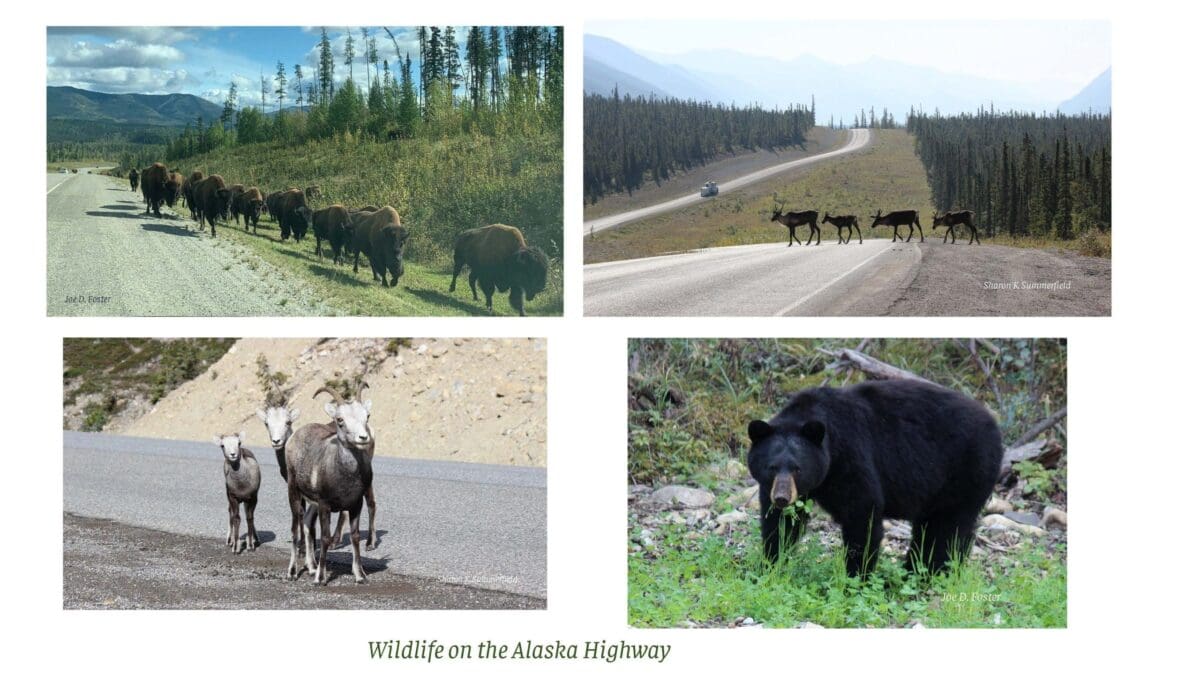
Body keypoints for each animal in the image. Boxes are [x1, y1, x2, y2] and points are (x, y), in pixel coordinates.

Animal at [283, 381, 376, 581]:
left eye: (367, 416)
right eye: (340, 420)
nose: (363, 438)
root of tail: (293, 438)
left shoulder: (355, 505)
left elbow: (355, 536)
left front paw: (360, 576)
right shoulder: (325, 505)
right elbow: (325, 538)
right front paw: (320, 578)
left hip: (313, 504)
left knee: (307, 524)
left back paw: (311, 567)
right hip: (294, 493)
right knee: (295, 530)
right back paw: (293, 572)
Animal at [748, 379, 1003, 571]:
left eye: (798, 468)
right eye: (772, 467)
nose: (782, 497)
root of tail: (994, 425)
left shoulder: (851, 456)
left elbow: (862, 514)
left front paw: (856, 576)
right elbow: (780, 525)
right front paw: (769, 566)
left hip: (966, 470)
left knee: (946, 527)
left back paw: (926, 573)